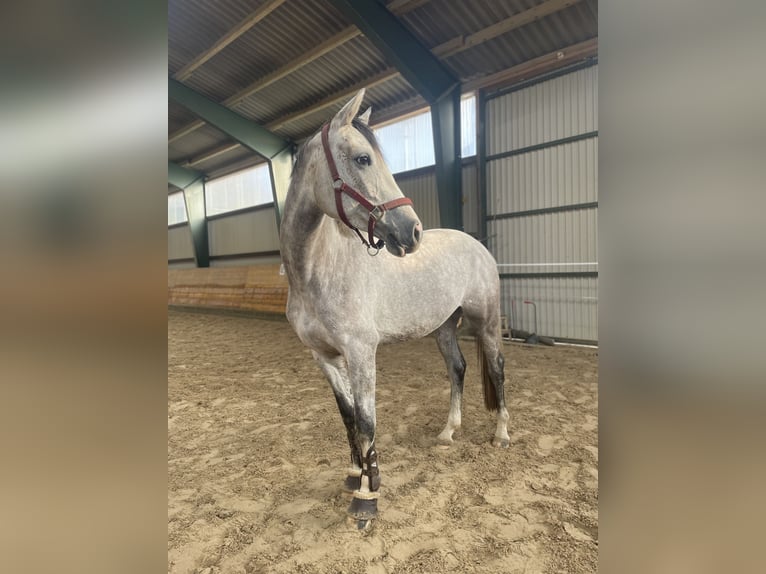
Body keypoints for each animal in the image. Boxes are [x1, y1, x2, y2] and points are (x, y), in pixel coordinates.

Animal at [279, 89, 509, 529]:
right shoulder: (324, 356)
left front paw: (367, 499)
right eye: (362, 159)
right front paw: (355, 474)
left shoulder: (361, 352)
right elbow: (348, 416)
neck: (316, 270)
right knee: (458, 369)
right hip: (443, 328)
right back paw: (447, 433)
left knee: (496, 370)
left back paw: (502, 434)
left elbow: (367, 421)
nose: (411, 231)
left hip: (487, 323)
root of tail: (476, 244)